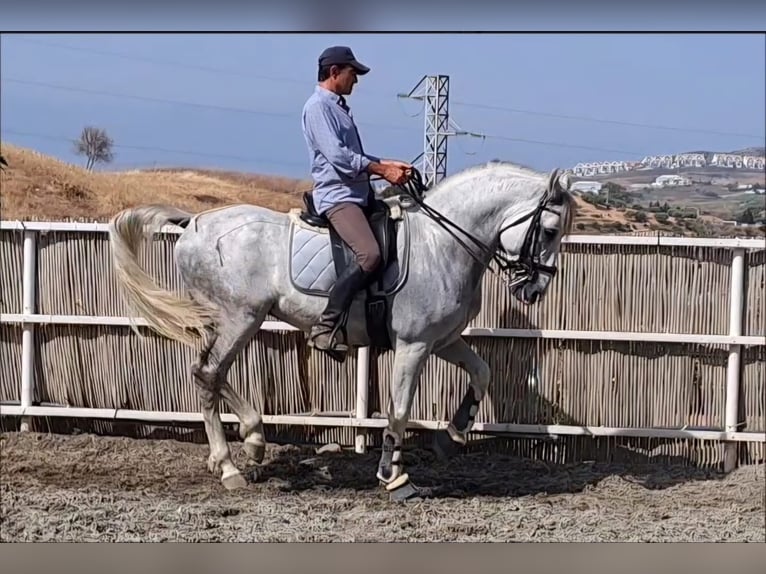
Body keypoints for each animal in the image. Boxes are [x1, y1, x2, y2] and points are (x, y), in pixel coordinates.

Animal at [106, 162, 576, 504]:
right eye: (550, 230)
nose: (534, 289)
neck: (439, 245)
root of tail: (193, 224)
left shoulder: (442, 340)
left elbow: (482, 372)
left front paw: (452, 435)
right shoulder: (413, 346)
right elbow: (399, 411)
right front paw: (394, 477)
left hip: (225, 321)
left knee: (206, 373)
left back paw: (247, 444)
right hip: (241, 318)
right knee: (209, 374)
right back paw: (232, 463)